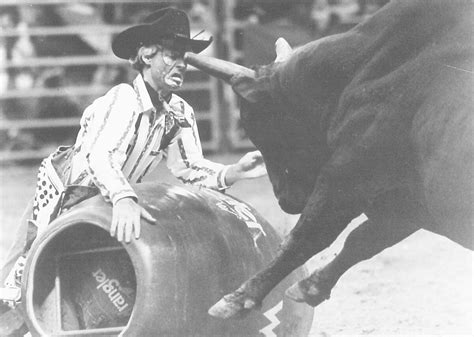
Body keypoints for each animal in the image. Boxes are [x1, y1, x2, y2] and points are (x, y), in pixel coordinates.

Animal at [185, 0, 474, 318]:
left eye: (257, 125)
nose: (284, 199)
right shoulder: (403, 202)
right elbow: (363, 240)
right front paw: (311, 287)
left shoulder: (346, 176)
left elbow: (307, 237)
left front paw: (239, 298)